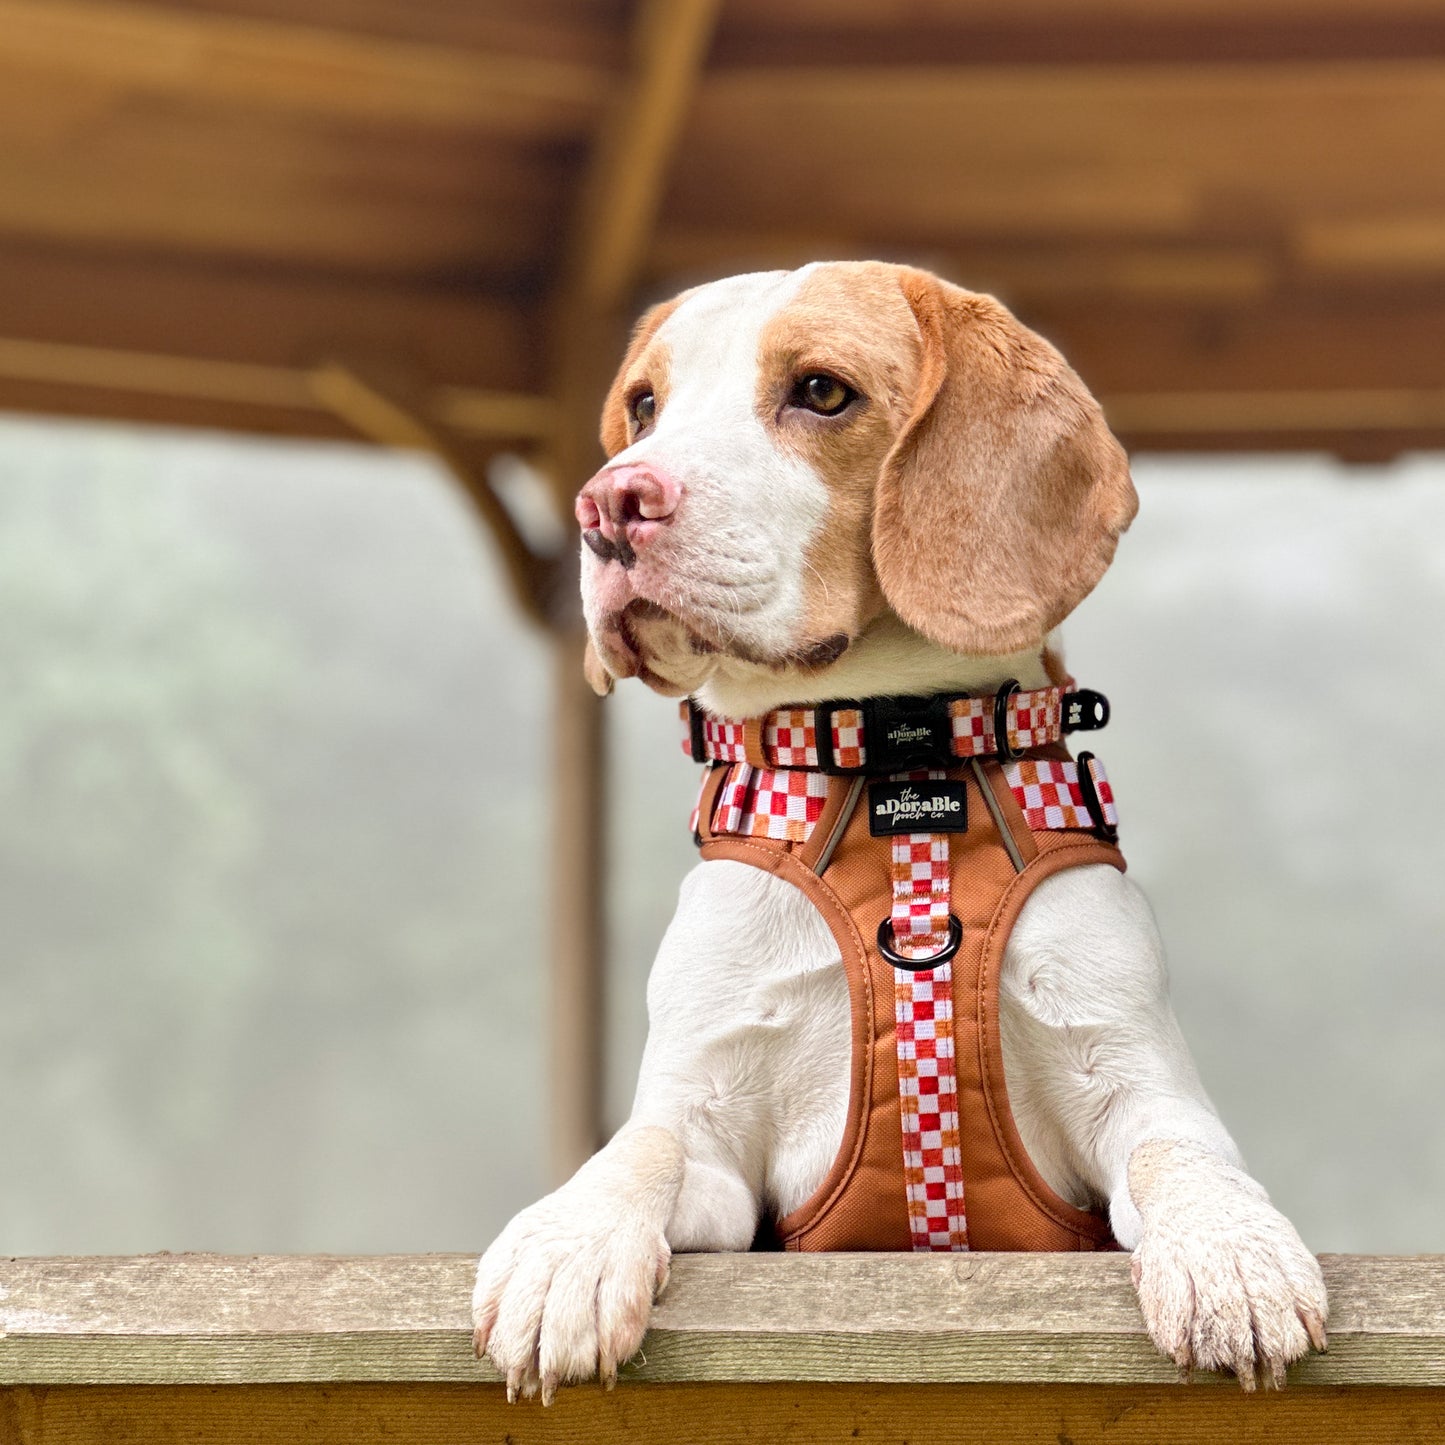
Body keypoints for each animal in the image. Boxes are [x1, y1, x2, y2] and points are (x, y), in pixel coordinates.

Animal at [476, 260, 1329, 1398]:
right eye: (646, 407)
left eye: (821, 391)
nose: (612, 502)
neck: (893, 773)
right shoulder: (711, 1130)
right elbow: (637, 1148)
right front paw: (565, 1246)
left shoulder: (1137, 1078)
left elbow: (1178, 1153)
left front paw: (1229, 1252)